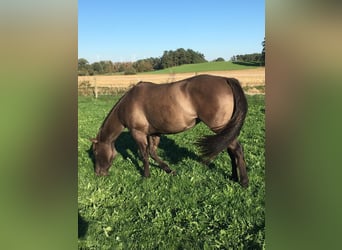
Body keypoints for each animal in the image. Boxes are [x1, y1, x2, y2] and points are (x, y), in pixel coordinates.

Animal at [90, 75, 248, 187]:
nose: (98, 174)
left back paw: (244, 182)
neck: (128, 104)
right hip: (225, 131)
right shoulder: (153, 133)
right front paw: (169, 170)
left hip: (220, 128)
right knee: (231, 150)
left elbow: (144, 155)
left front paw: (146, 176)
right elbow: (153, 153)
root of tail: (226, 79)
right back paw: (234, 177)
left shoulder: (138, 133)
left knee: (237, 149)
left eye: (96, 152)